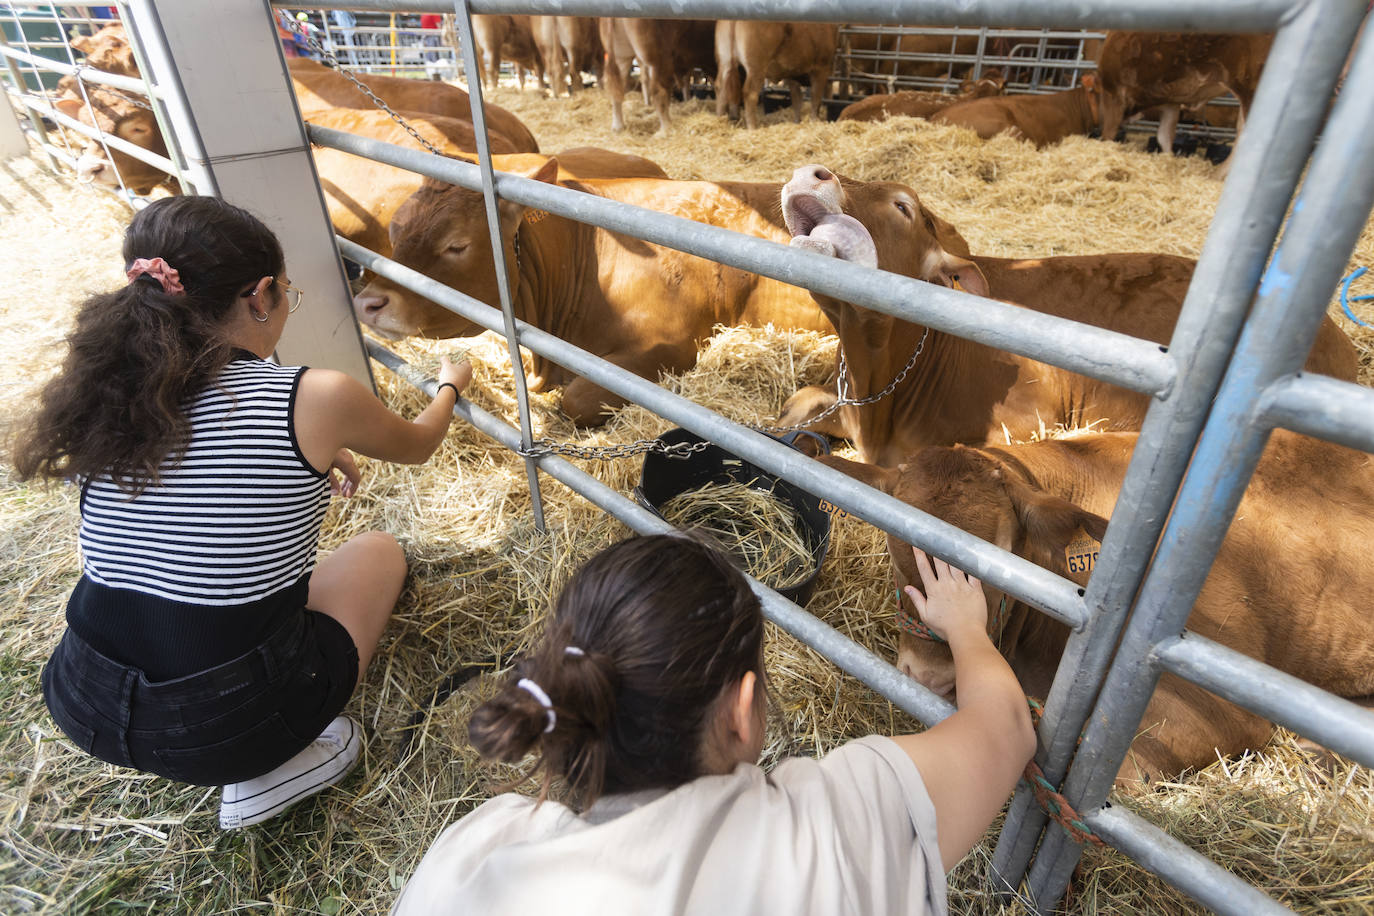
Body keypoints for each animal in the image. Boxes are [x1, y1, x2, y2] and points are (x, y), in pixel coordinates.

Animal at [1093, 33, 1275, 153]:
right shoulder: (1170, 102)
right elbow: (1164, 136)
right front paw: (1169, 158)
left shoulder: (1113, 94)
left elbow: (1108, 135)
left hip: (1249, 88)